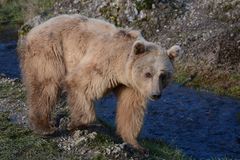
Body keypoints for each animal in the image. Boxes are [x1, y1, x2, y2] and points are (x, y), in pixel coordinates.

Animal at [17, 13, 181, 150]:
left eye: (163, 75)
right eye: (148, 73)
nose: (155, 94)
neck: (121, 67)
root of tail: (33, 29)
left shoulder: (131, 85)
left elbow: (130, 109)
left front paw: (135, 144)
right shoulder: (103, 63)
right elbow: (81, 84)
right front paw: (76, 124)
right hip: (50, 50)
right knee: (46, 86)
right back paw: (44, 127)